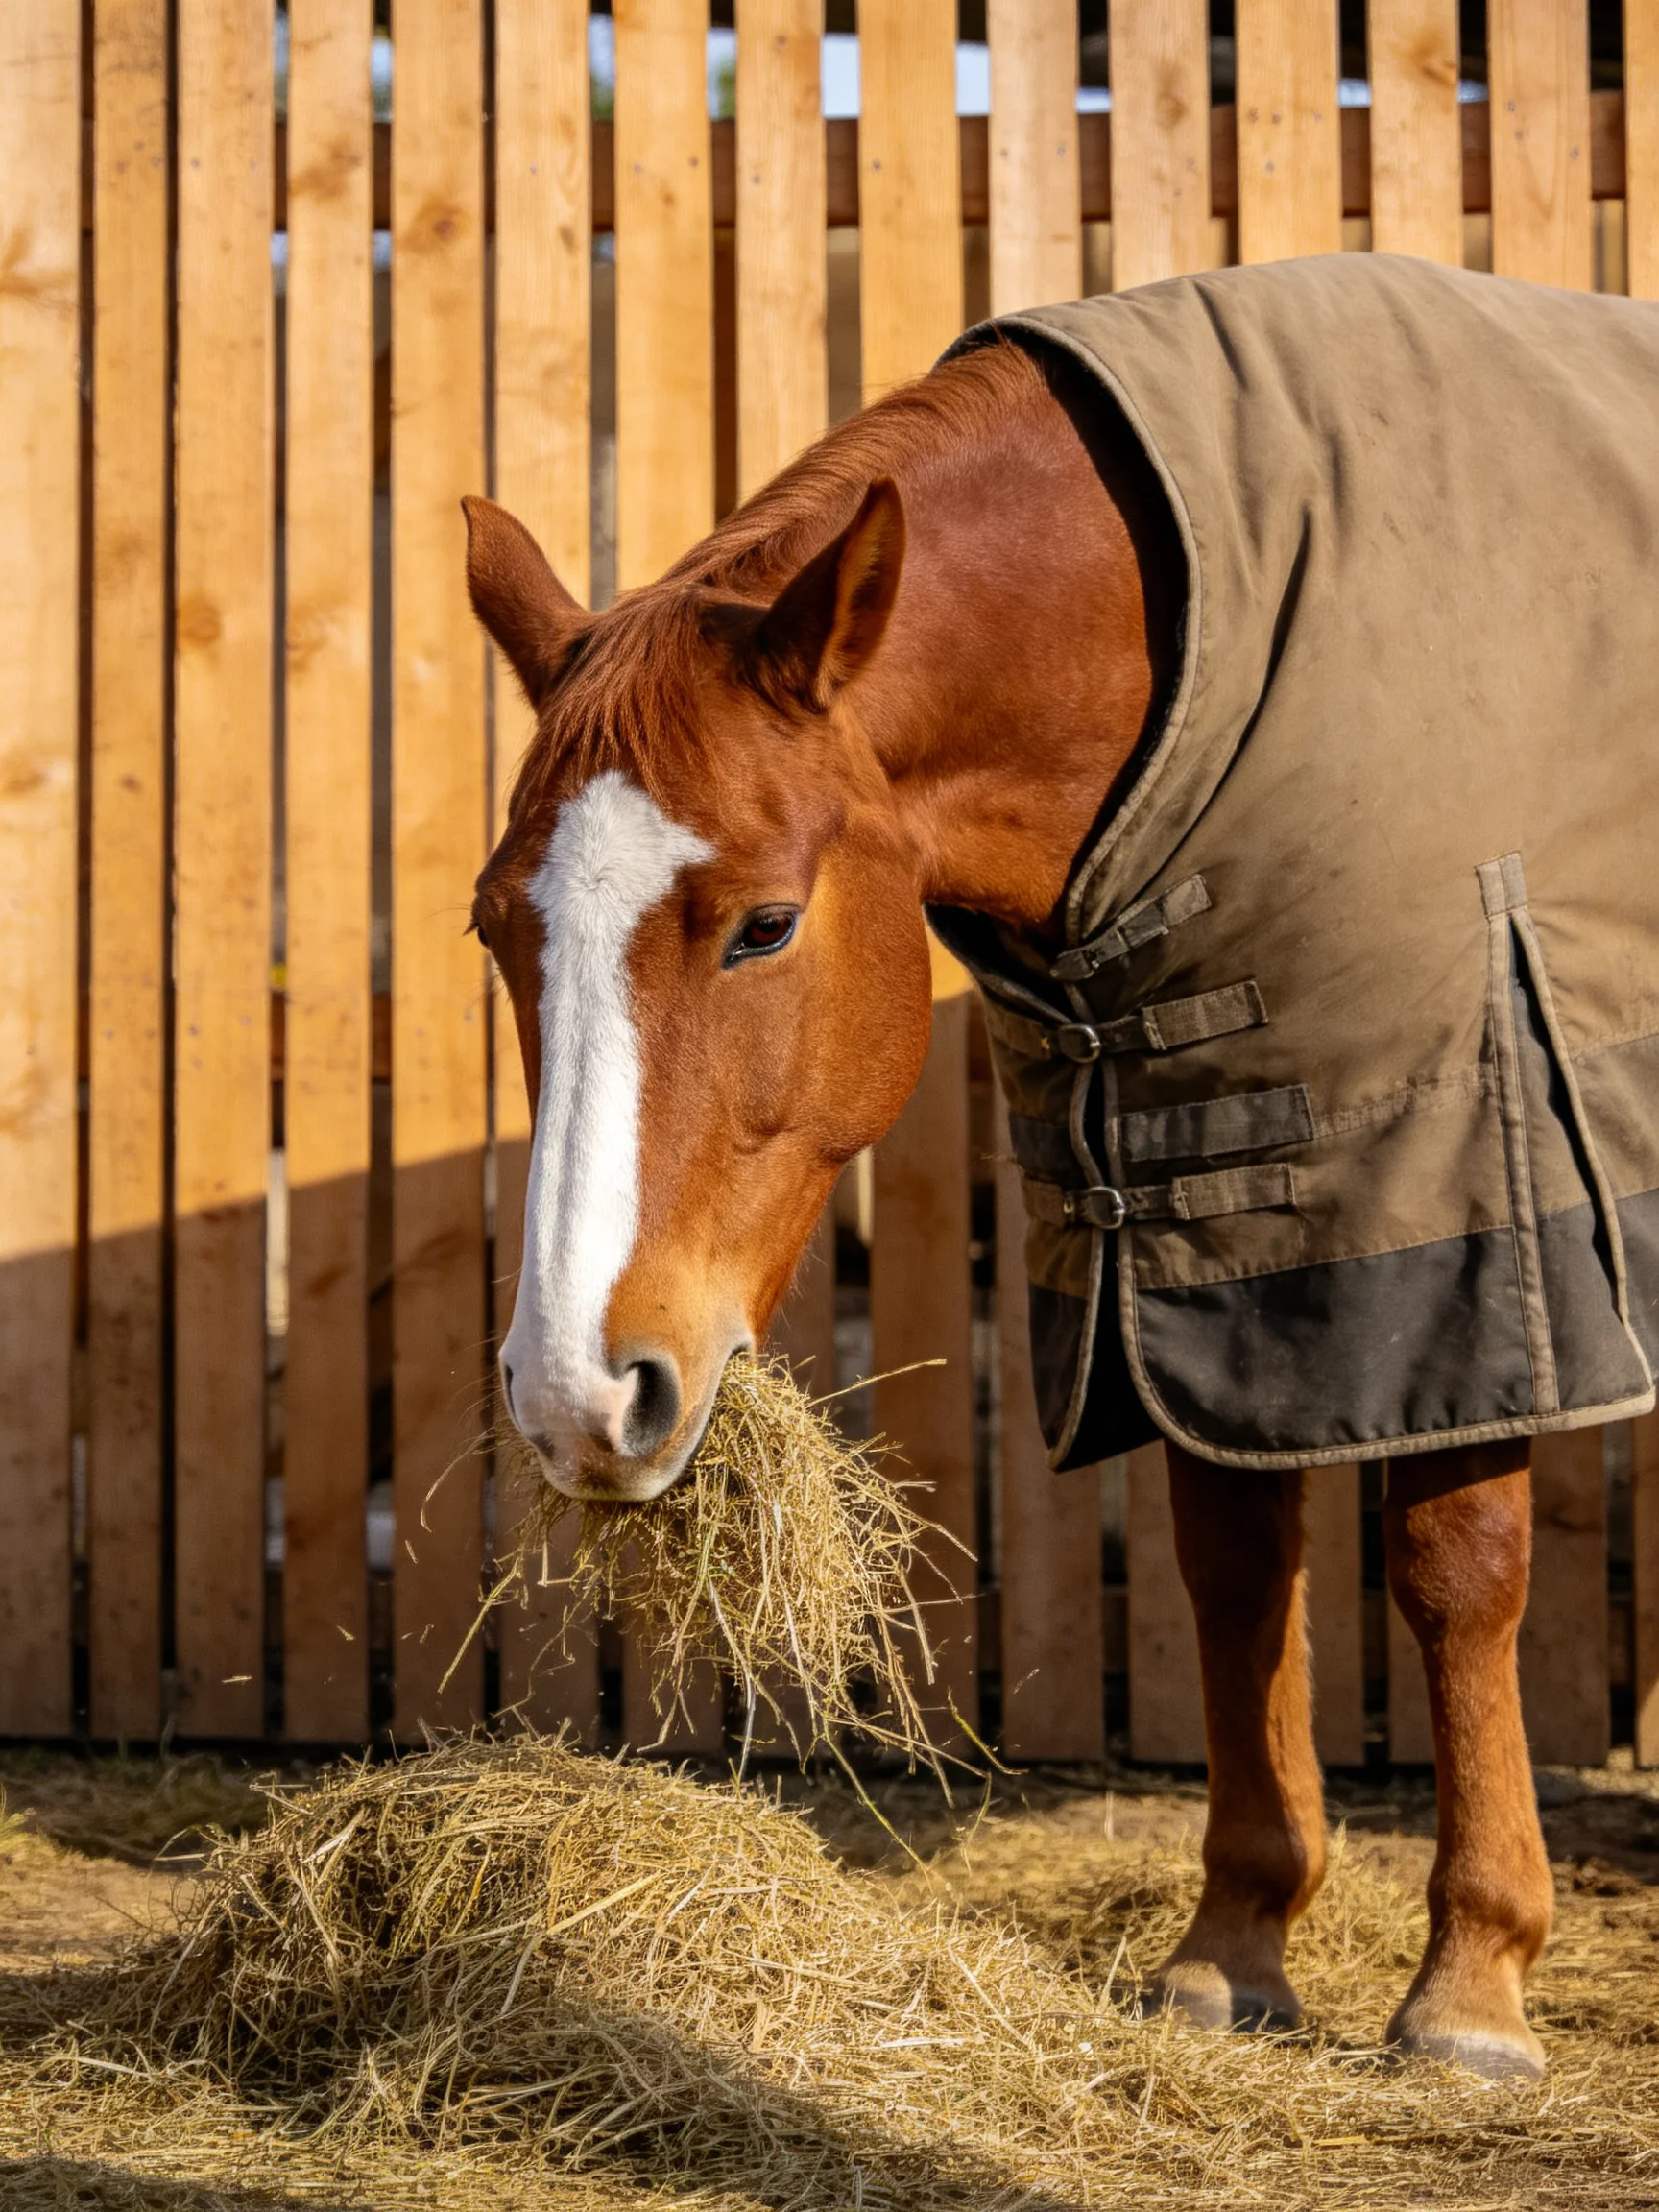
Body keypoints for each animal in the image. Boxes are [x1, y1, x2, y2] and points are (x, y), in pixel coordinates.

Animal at [463, 275, 1576, 2082]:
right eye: (495, 926)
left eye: (766, 924)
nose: (574, 1393)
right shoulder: (1189, 1244)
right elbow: (1231, 1563)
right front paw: (1234, 1943)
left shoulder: (1467, 1210)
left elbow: (1455, 1568)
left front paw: (1472, 1977)